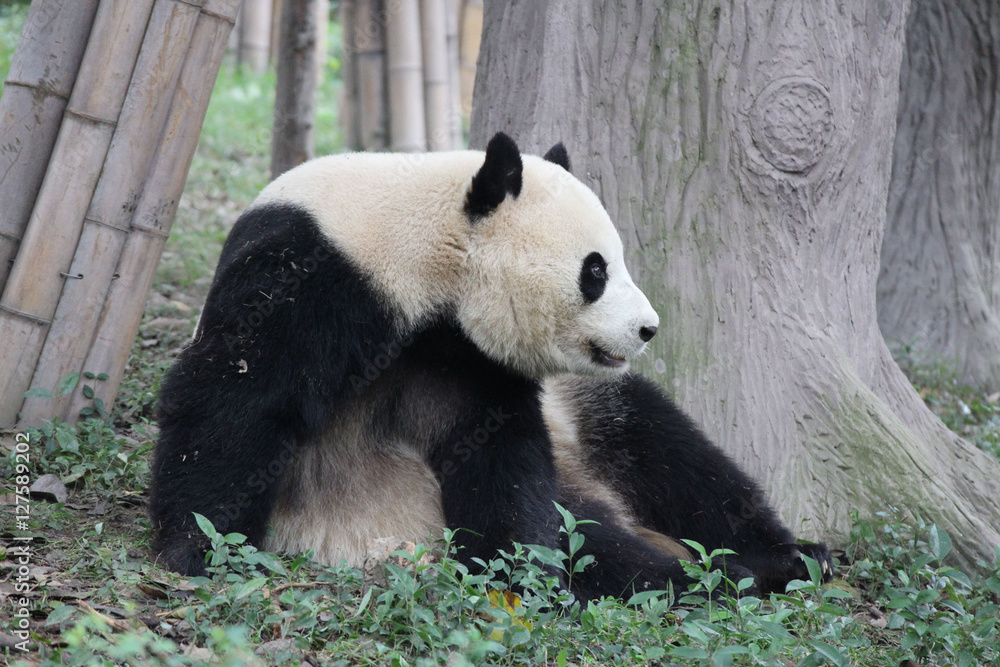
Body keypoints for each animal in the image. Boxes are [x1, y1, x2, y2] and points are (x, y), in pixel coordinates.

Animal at [150, 132, 832, 601]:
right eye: (595, 270)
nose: (647, 328)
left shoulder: (465, 355)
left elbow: (497, 454)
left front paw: (521, 566)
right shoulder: (312, 271)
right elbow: (240, 398)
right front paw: (196, 549)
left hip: (582, 416)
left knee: (669, 450)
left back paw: (786, 558)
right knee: (600, 536)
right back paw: (710, 578)